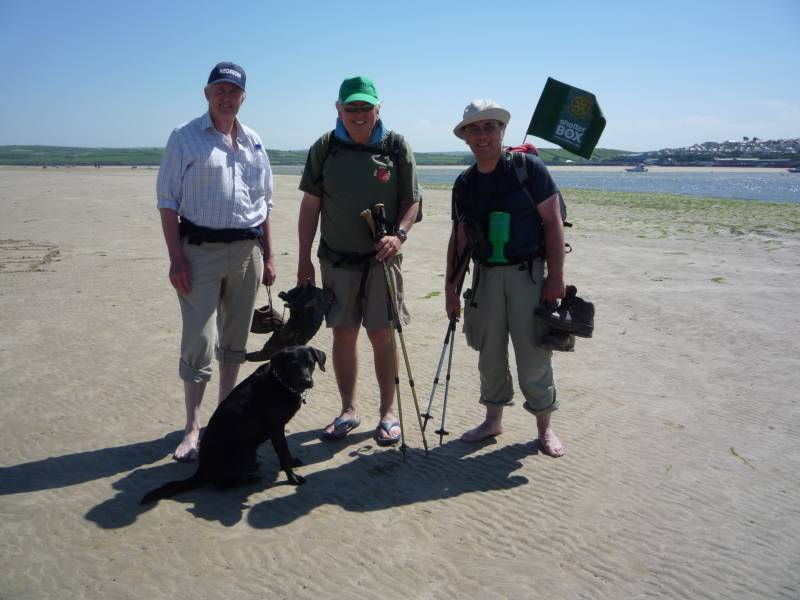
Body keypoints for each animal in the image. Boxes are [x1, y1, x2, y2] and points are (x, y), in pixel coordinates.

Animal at [141, 344, 324, 504]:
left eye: (311, 364)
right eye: (294, 365)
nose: (307, 381)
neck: (281, 381)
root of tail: (202, 470)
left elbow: (286, 453)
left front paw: (293, 462)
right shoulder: (276, 429)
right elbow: (283, 454)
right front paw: (292, 478)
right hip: (244, 451)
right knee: (221, 484)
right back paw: (248, 478)